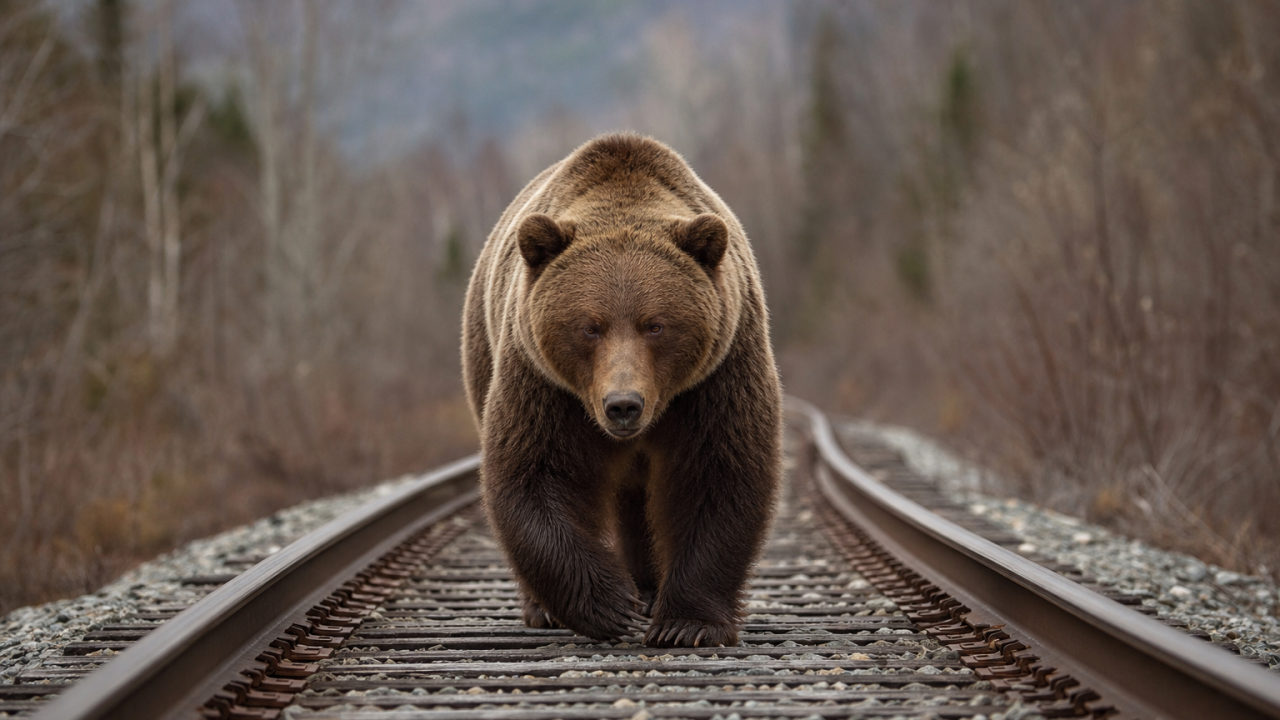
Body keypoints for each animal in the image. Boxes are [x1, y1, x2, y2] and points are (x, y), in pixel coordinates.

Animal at [461, 133, 782, 648]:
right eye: (590, 327)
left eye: (656, 324)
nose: (623, 405)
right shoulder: (547, 384)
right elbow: (535, 473)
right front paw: (610, 605)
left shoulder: (718, 375)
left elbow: (717, 475)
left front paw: (685, 623)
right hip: (484, 354)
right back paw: (544, 607)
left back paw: (648, 588)